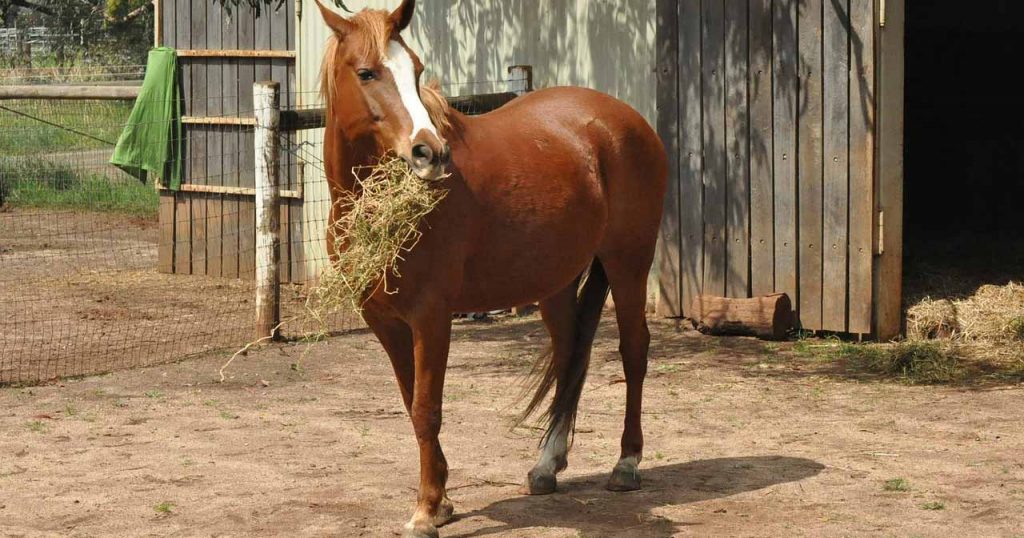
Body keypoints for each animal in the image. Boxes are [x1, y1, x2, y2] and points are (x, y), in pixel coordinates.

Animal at [319, 2, 667, 532]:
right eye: (366, 72)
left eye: (416, 69)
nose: (429, 152)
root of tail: (626, 119)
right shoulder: (384, 321)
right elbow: (410, 402)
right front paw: (441, 499)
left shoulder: (431, 317)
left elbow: (426, 409)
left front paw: (426, 510)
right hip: (556, 282)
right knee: (570, 356)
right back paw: (547, 465)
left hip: (629, 263)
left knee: (634, 352)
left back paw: (626, 463)